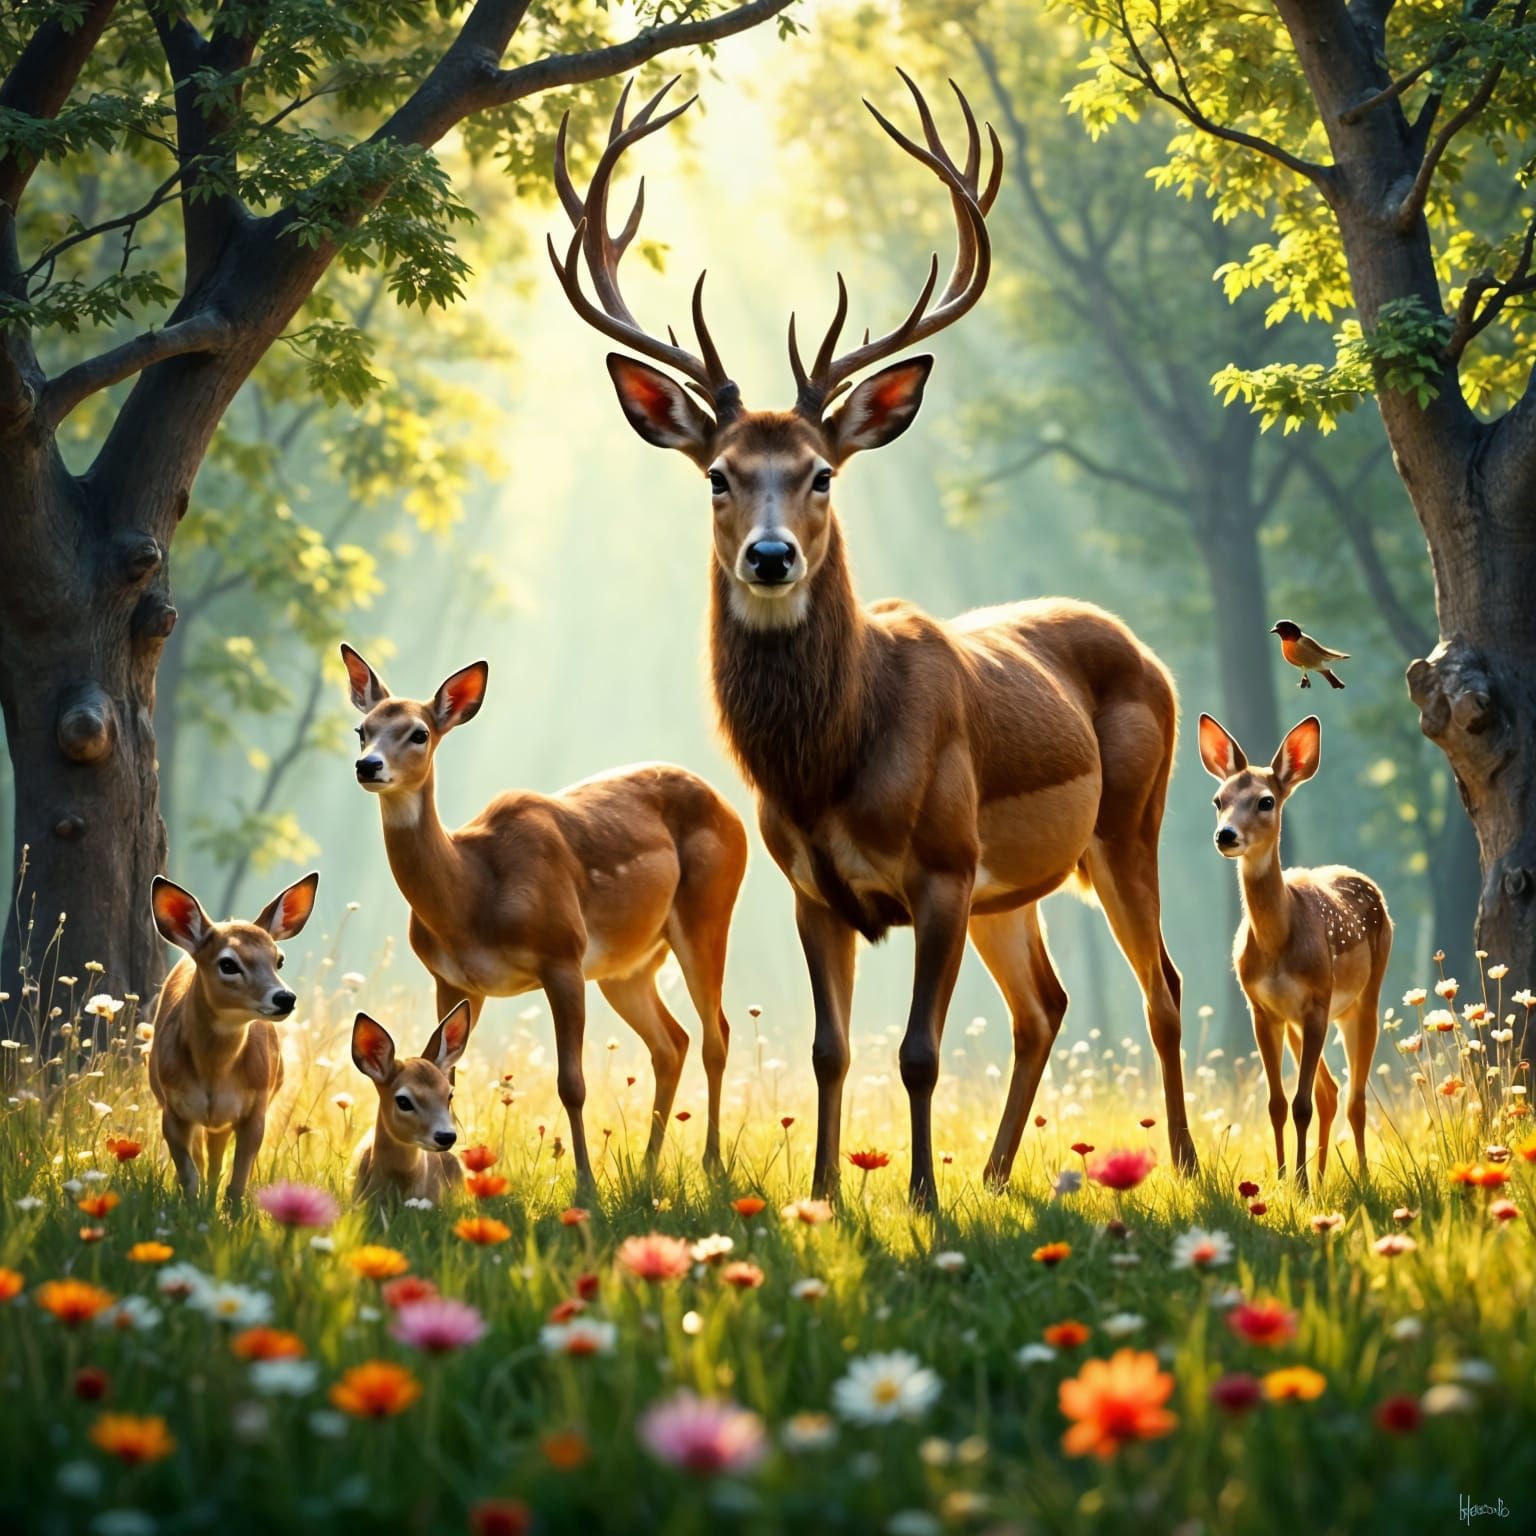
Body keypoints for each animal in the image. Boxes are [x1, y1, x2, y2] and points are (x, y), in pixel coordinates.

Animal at [146, 872, 319, 1207]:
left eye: (279, 959)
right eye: (228, 963)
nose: (285, 998)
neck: (214, 1075)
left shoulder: (254, 1109)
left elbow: (236, 1181)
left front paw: (230, 1213)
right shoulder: (172, 1109)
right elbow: (189, 1175)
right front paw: (192, 1209)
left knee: (215, 1161)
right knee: (204, 1159)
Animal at [550, 73, 1196, 1206]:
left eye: (820, 472)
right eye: (717, 475)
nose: (770, 558)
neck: (834, 762)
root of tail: (1143, 651)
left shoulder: (940, 865)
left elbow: (919, 1052)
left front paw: (921, 1198)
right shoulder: (811, 885)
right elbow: (830, 1050)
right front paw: (824, 1193)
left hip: (1127, 821)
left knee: (1159, 982)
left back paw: (1191, 1167)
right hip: (1009, 888)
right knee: (1047, 1004)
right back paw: (998, 1175)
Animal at [1198, 714, 1391, 1188]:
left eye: (1266, 801)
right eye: (1218, 799)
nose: (1225, 835)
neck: (1277, 946)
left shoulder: (1318, 999)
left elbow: (1300, 1104)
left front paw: (1300, 1185)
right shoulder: (1263, 1009)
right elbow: (1278, 1103)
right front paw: (1286, 1177)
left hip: (1363, 998)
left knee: (1355, 1097)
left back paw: (1358, 1175)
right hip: (1299, 1024)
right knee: (1330, 1091)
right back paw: (1321, 1174)